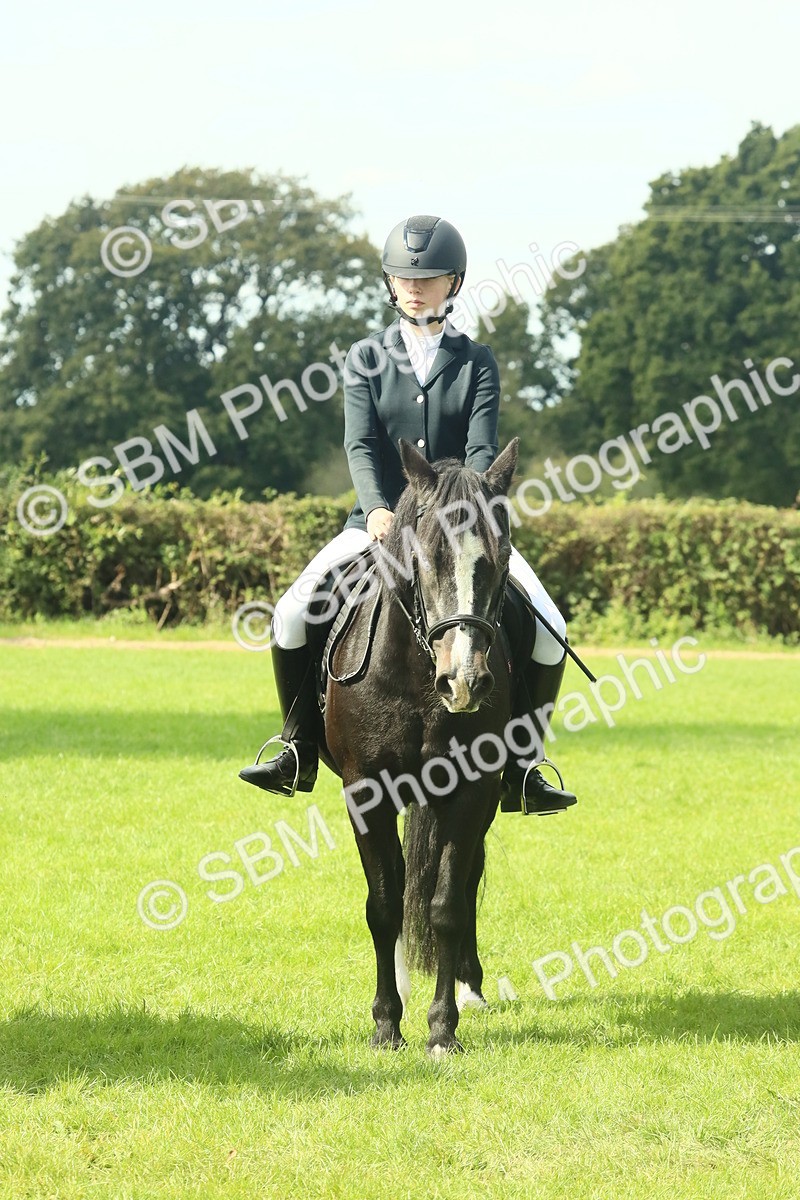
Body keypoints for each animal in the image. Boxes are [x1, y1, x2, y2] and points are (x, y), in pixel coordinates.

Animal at [322, 437, 519, 1057]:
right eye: (425, 557)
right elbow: (385, 904)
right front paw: (387, 1022)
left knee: (464, 876)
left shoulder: (472, 790)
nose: (465, 682)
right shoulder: (367, 790)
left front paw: (441, 1027)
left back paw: (469, 987)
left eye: (502, 560)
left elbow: (447, 904)